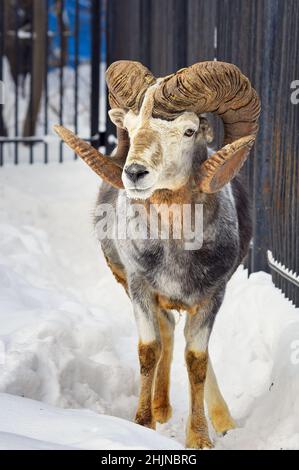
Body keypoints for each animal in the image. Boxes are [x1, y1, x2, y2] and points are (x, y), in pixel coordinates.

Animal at [55, 59, 262, 448]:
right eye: (131, 127)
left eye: (189, 130)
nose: (135, 173)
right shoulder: (139, 288)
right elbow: (150, 350)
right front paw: (142, 423)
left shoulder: (212, 297)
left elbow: (197, 360)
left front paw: (200, 437)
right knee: (166, 332)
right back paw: (161, 409)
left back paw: (219, 419)